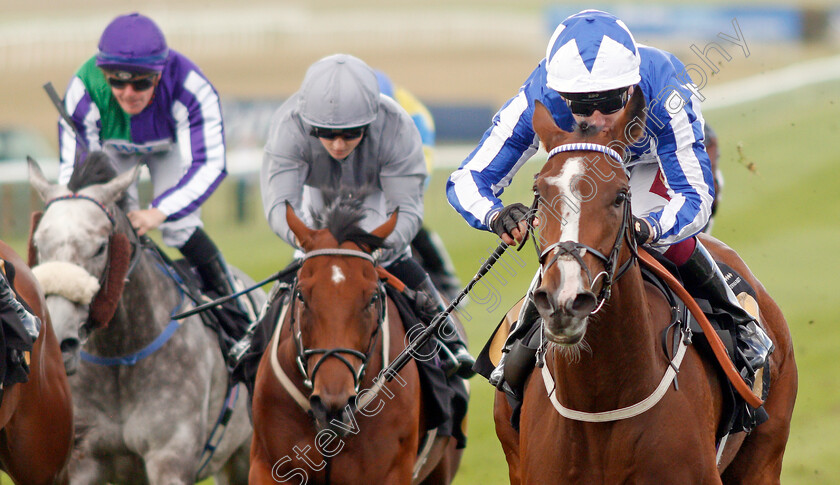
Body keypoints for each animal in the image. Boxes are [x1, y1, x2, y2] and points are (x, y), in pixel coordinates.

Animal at [27, 156, 260, 484]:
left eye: (101, 247)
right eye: (38, 245)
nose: (60, 341)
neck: (120, 354)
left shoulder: (169, 459)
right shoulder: (82, 463)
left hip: (244, 455)